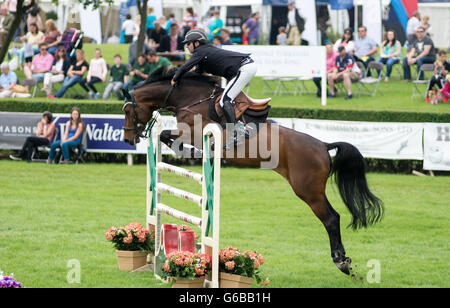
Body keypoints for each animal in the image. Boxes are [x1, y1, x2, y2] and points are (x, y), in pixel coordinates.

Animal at [123, 68, 384, 276]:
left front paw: (188, 151)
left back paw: (341, 261)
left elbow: (167, 136)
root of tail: (323, 145)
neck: (190, 99)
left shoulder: (194, 133)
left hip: (308, 191)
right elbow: (164, 136)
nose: (127, 139)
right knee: (333, 217)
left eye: (127, 111)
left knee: (331, 218)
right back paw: (343, 260)